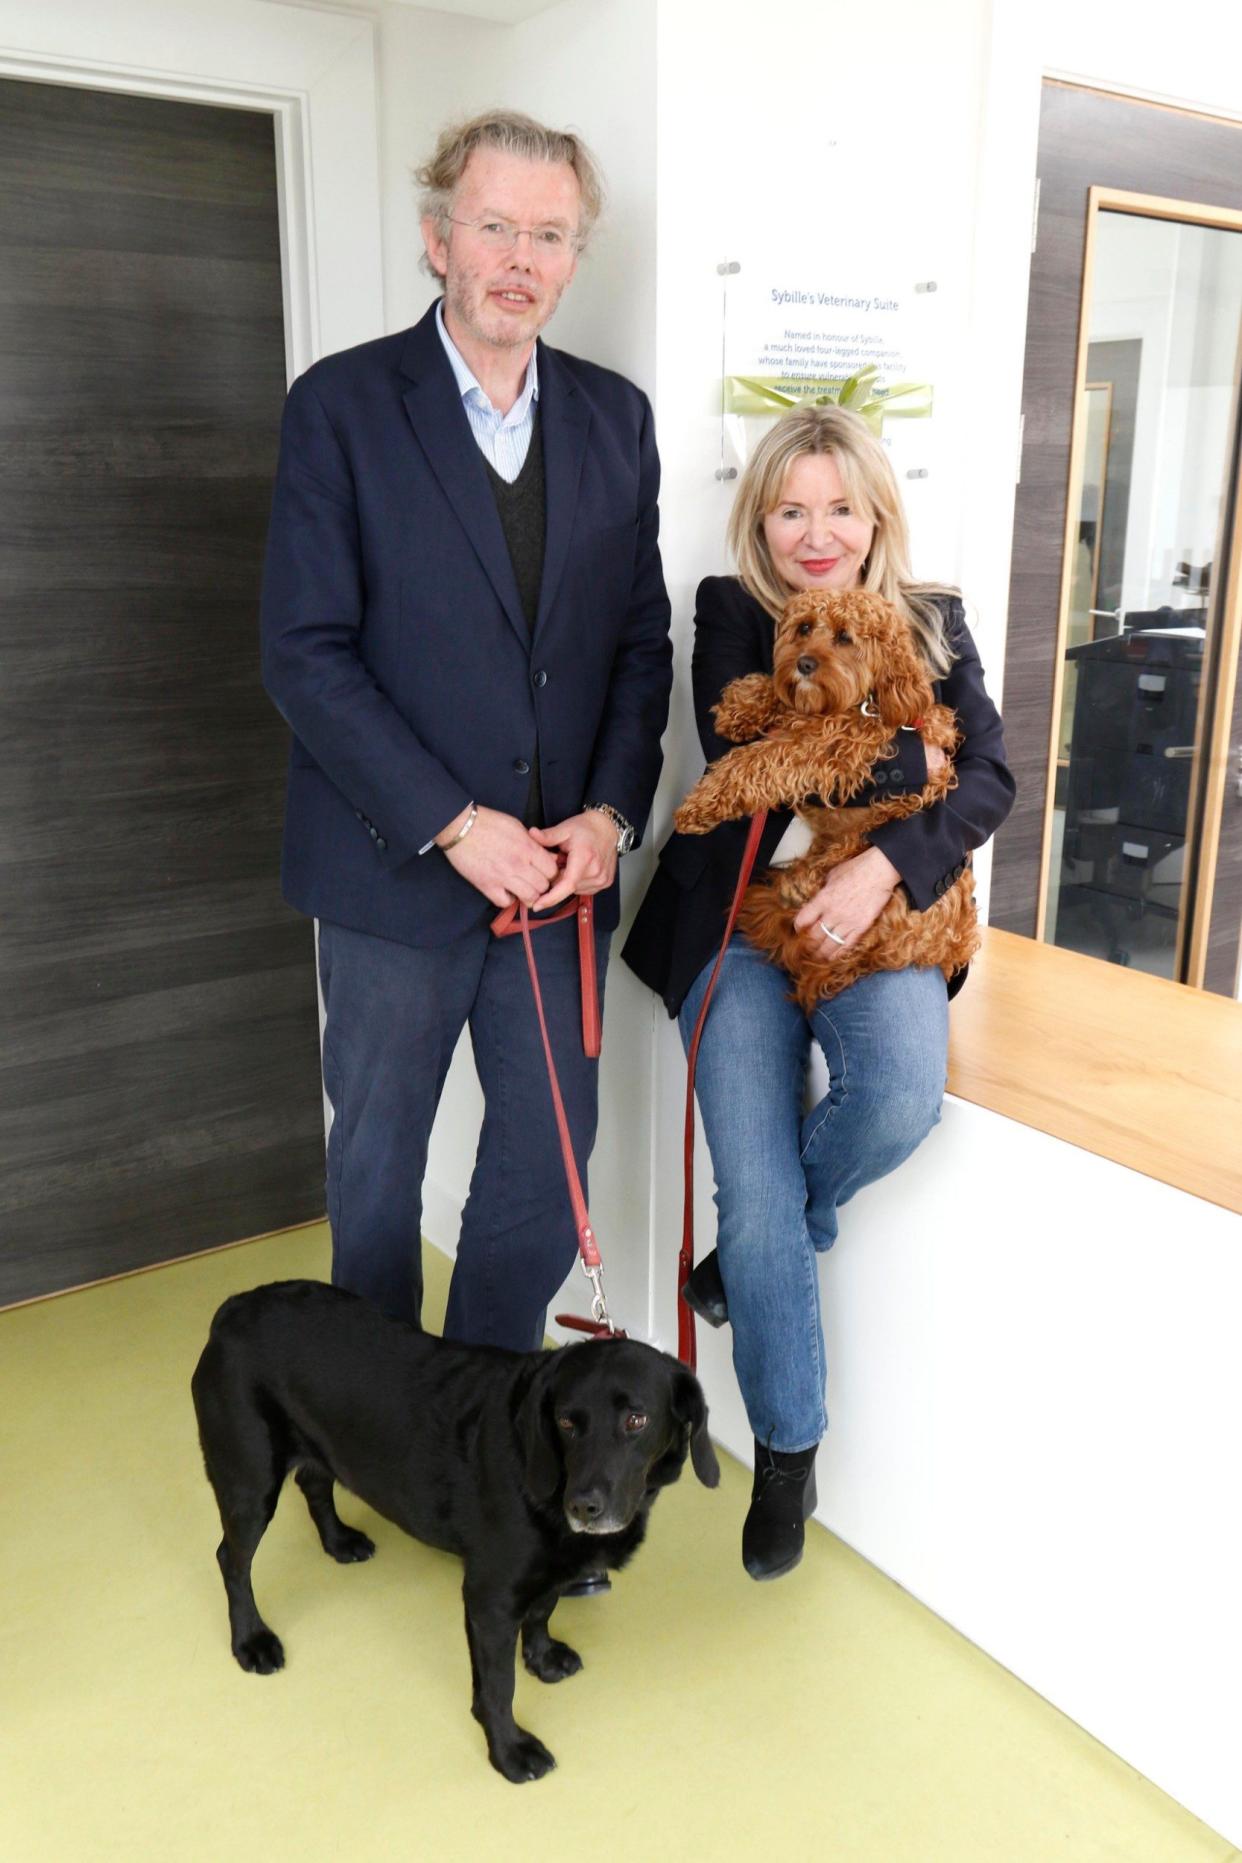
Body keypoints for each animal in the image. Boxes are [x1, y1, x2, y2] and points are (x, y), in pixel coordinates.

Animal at [674, 588, 975, 1013]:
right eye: (803, 628)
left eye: (845, 637)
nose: (804, 663)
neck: (867, 701)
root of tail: (948, 949)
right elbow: (774, 693)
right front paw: (741, 706)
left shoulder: (830, 747)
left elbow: (757, 760)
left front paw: (700, 803)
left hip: (880, 837)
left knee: (846, 853)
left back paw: (799, 883)